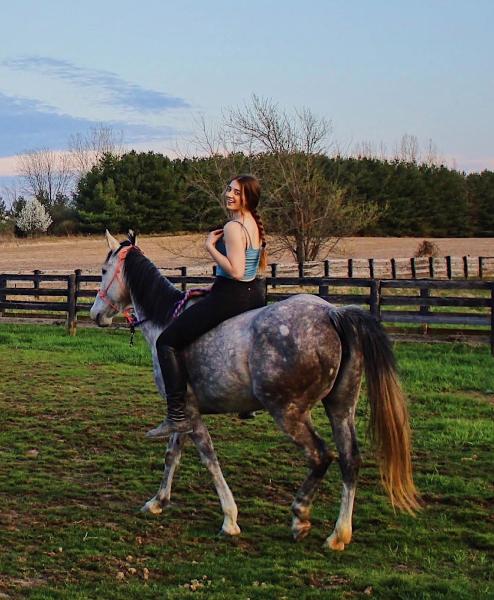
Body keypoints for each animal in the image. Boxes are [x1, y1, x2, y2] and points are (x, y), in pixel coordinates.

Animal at [90, 232, 418, 552]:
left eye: (104, 271)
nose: (95, 314)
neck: (165, 322)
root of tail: (333, 313)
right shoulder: (183, 413)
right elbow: (173, 455)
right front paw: (158, 502)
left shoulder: (192, 415)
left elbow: (209, 460)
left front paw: (230, 519)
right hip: (340, 407)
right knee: (350, 461)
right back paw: (338, 535)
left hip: (288, 412)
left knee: (321, 456)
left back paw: (300, 516)